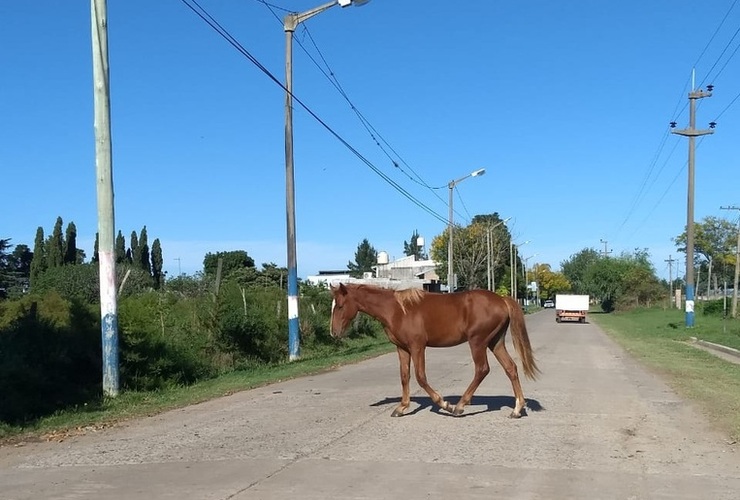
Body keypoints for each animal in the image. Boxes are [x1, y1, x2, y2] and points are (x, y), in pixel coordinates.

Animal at [332, 282, 540, 418]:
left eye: (340, 305)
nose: (334, 332)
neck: (397, 310)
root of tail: (502, 300)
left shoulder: (417, 347)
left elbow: (421, 377)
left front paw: (444, 404)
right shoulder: (402, 349)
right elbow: (405, 376)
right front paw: (402, 407)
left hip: (477, 342)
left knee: (482, 369)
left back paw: (459, 406)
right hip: (495, 342)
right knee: (510, 368)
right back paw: (517, 409)